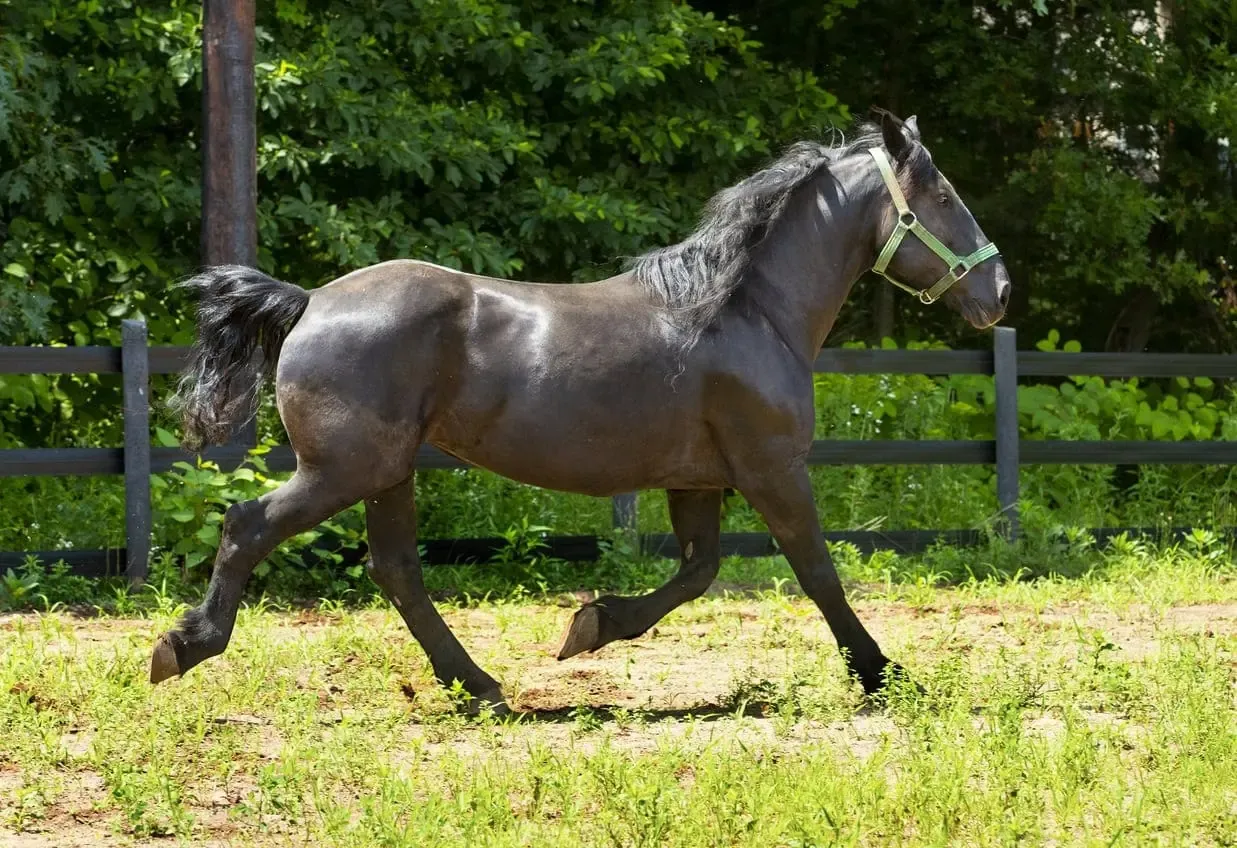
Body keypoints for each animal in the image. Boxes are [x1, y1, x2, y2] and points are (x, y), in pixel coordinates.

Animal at [151, 110, 1009, 714]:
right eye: (941, 196)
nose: (998, 292)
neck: (745, 312)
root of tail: (309, 301)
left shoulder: (698, 480)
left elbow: (698, 571)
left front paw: (589, 626)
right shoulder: (772, 469)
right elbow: (817, 571)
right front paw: (880, 673)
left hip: (385, 473)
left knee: (395, 570)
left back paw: (478, 686)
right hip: (344, 469)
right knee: (249, 526)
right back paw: (184, 646)